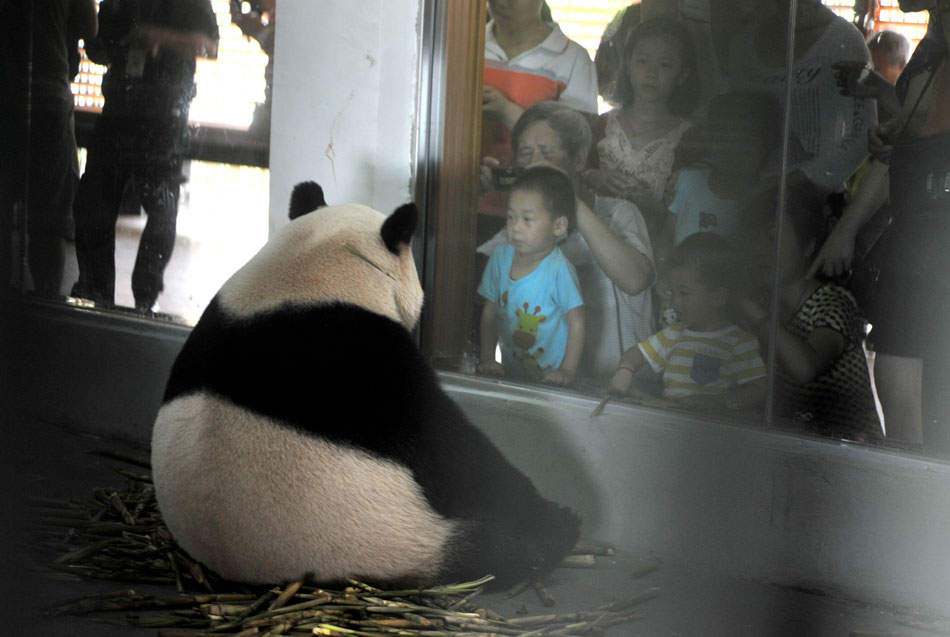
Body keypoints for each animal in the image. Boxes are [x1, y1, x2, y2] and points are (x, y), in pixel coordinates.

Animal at [151, 181, 580, 588]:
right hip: (395, 536)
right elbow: (453, 452)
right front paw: (545, 512)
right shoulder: (369, 368)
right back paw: (550, 535)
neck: (310, 273)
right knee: (498, 554)